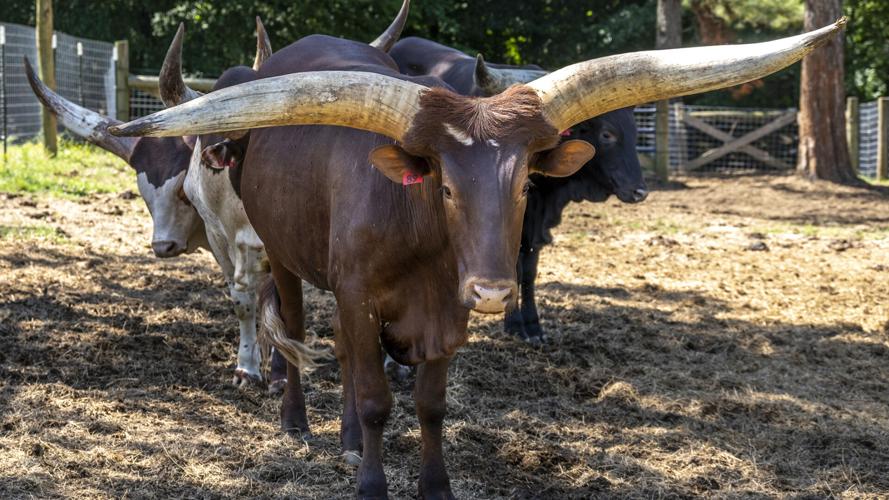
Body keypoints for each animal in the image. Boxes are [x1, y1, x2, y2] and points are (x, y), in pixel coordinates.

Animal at [390, 37, 646, 343]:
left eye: (635, 132)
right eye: (607, 134)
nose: (640, 192)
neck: (547, 194)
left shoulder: (533, 222)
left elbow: (529, 268)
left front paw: (532, 324)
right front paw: (514, 323)